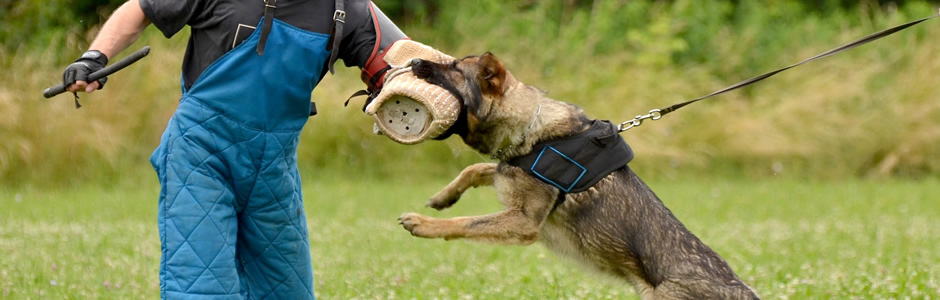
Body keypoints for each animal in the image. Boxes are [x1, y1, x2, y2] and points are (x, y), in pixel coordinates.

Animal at [396, 52, 756, 298]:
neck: (533, 128)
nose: (414, 60)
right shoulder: (507, 173)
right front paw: (443, 197)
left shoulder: (523, 222)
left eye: (455, 69)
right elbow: (475, 169)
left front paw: (424, 224)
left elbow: (465, 222)